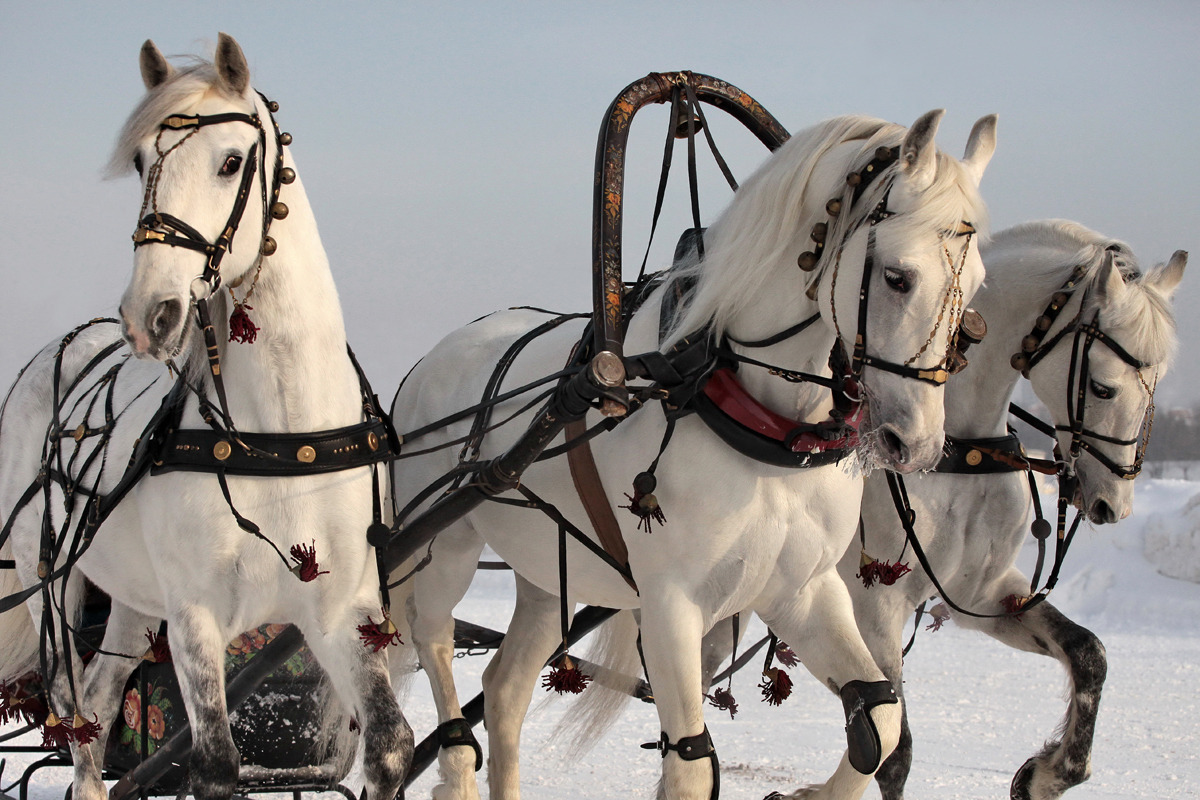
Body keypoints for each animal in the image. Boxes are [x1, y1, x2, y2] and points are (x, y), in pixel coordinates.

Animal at [0, 34, 412, 800]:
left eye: (230, 162)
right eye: (141, 163)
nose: (150, 314)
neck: (276, 436)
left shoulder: (340, 610)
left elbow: (392, 747)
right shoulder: (196, 615)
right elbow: (217, 765)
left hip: (134, 604)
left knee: (99, 704)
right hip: (52, 587)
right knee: (76, 724)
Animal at [388, 107, 998, 800]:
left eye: (977, 283)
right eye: (898, 277)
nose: (917, 445)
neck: (755, 418)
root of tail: (428, 363)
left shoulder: (802, 590)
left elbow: (881, 716)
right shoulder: (671, 601)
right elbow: (690, 763)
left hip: (547, 572)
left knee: (504, 688)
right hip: (446, 543)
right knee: (434, 641)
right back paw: (454, 764)